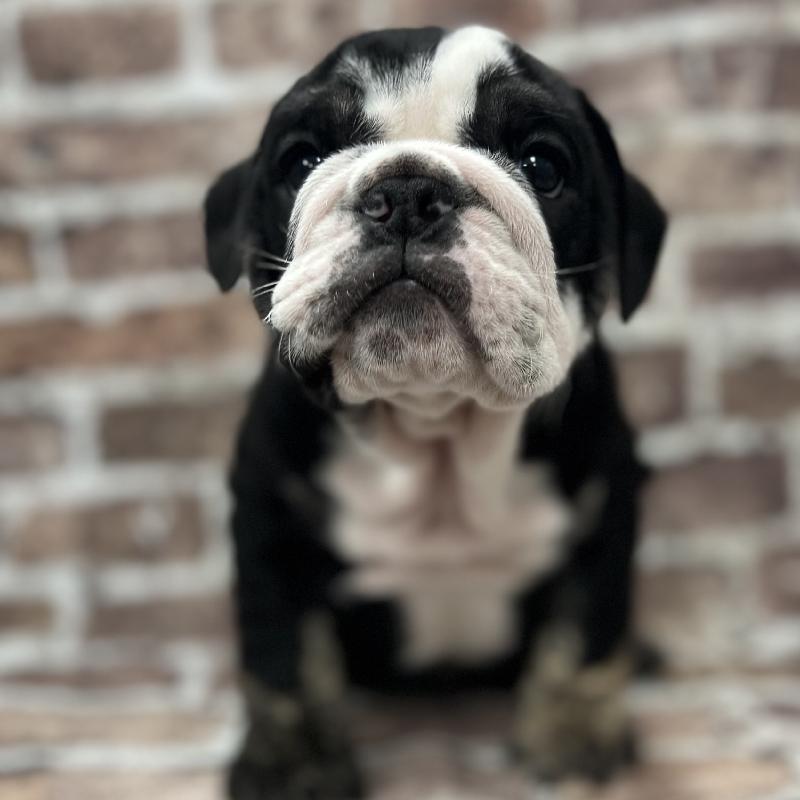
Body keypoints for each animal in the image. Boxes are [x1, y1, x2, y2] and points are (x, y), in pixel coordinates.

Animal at [203, 25, 667, 799]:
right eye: (301, 160)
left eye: (543, 165)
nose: (407, 191)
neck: (434, 425)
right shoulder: (268, 524)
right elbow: (283, 656)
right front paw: (293, 763)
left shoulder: (606, 511)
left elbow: (586, 629)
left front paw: (571, 730)